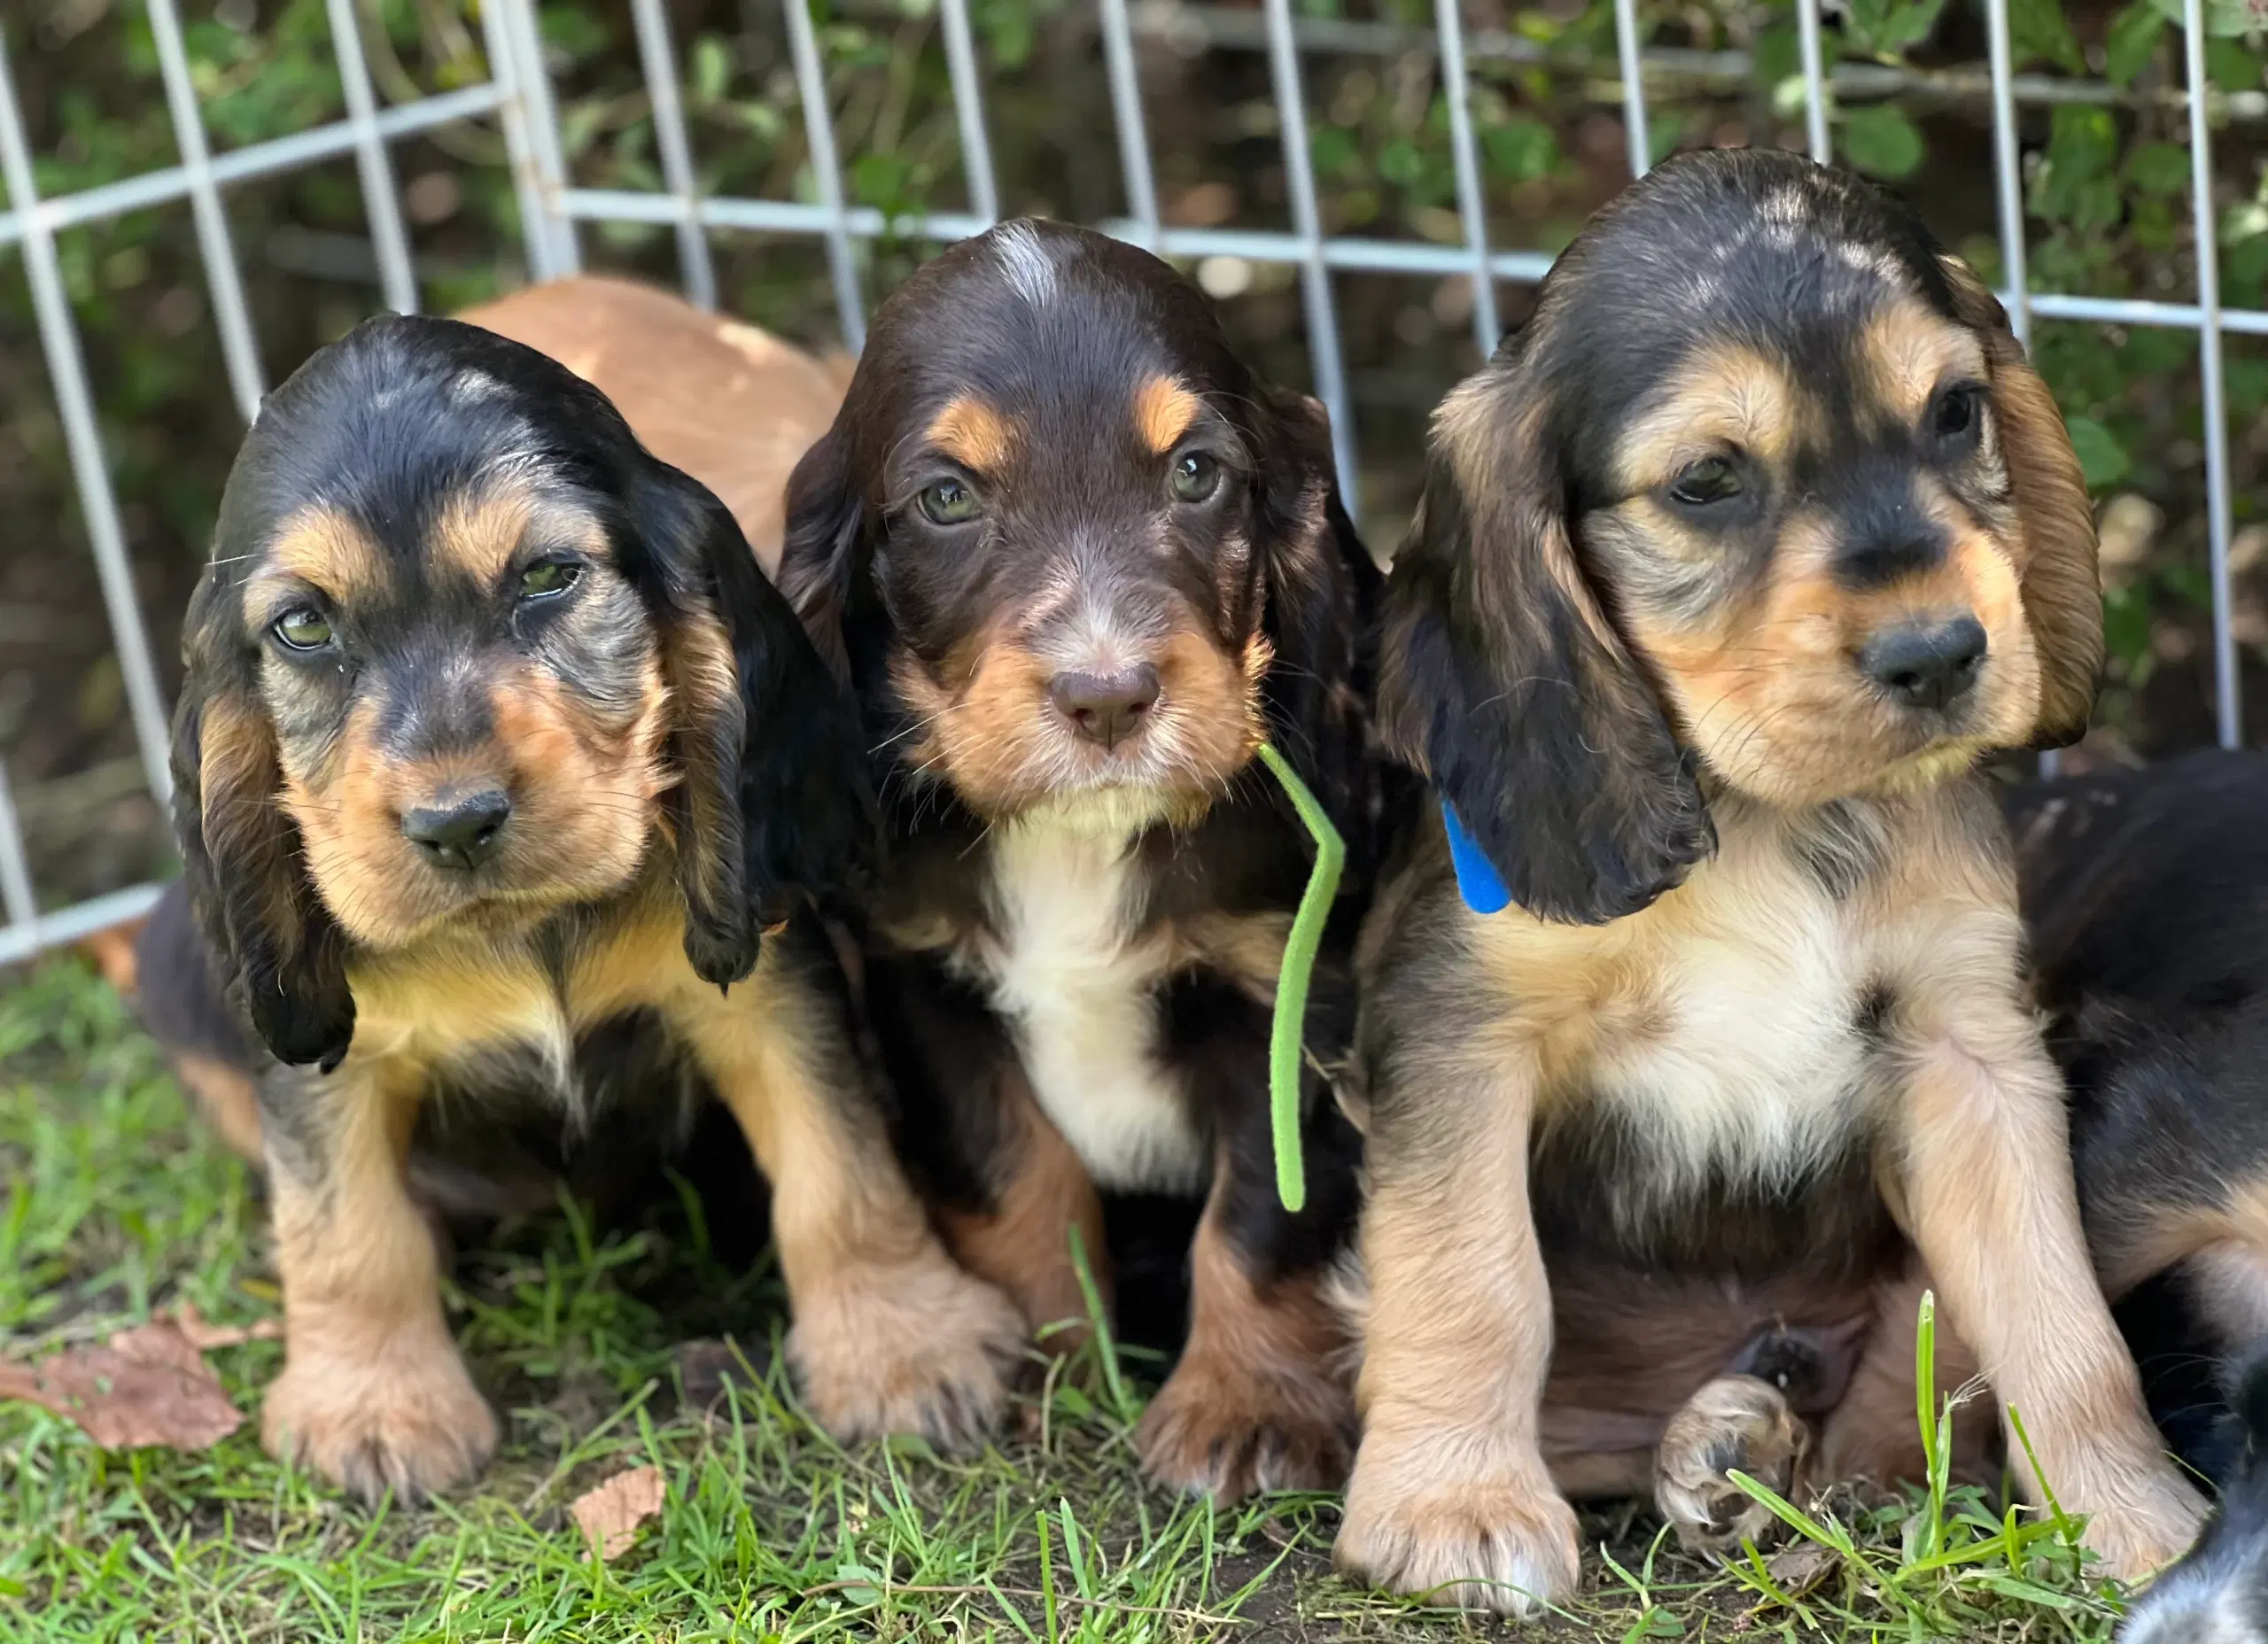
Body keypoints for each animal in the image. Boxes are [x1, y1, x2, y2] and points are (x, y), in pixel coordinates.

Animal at [165, 314, 1029, 1505]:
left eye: (546, 575)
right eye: (301, 626)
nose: (455, 822)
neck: (521, 930)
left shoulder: (769, 986)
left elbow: (840, 1166)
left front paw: (907, 1346)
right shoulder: (327, 1050)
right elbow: (344, 1224)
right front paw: (374, 1407)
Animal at [780, 221, 1379, 1496]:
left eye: (1196, 474)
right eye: (945, 498)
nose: (1108, 696)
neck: (1079, 833)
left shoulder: (1297, 992)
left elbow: (1261, 1212)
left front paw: (1244, 1409)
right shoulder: (926, 980)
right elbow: (1011, 1171)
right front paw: (1050, 1360)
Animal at [1324, 147, 2195, 1605]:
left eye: (1956, 412)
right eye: (1706, 482)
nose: (1940, 654)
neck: (1765, 814)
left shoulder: (1965, 1046)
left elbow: (2061, 1316)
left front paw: (2135, 1520)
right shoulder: (1457, 1027)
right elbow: (1472, 1278)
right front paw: (1453, 1507)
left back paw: (1743, 1442)